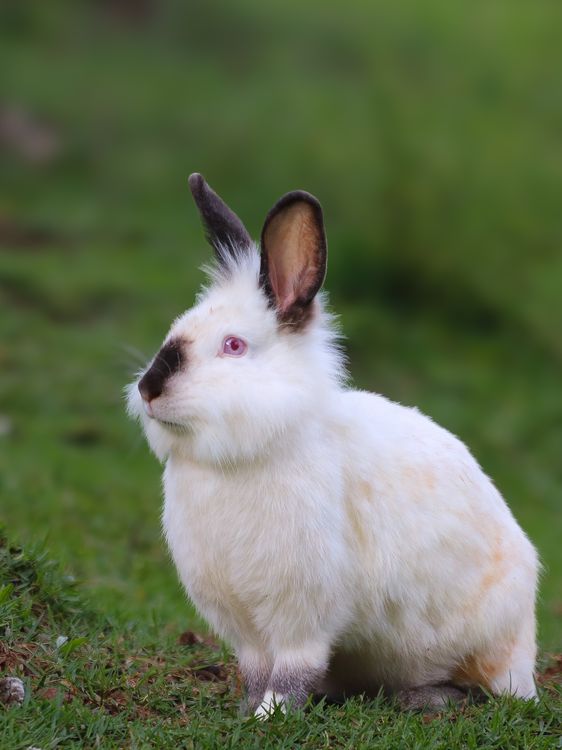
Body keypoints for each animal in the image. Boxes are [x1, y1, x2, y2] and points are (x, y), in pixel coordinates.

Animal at [127, 173, 539, 717]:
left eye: (233, 345)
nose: (149, 388)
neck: (233, 460)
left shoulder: (302, 614)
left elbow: (292, 670)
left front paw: (270, 715)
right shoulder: (245, 625)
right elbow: (255, 669)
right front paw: (246, 711)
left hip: (486, 647)